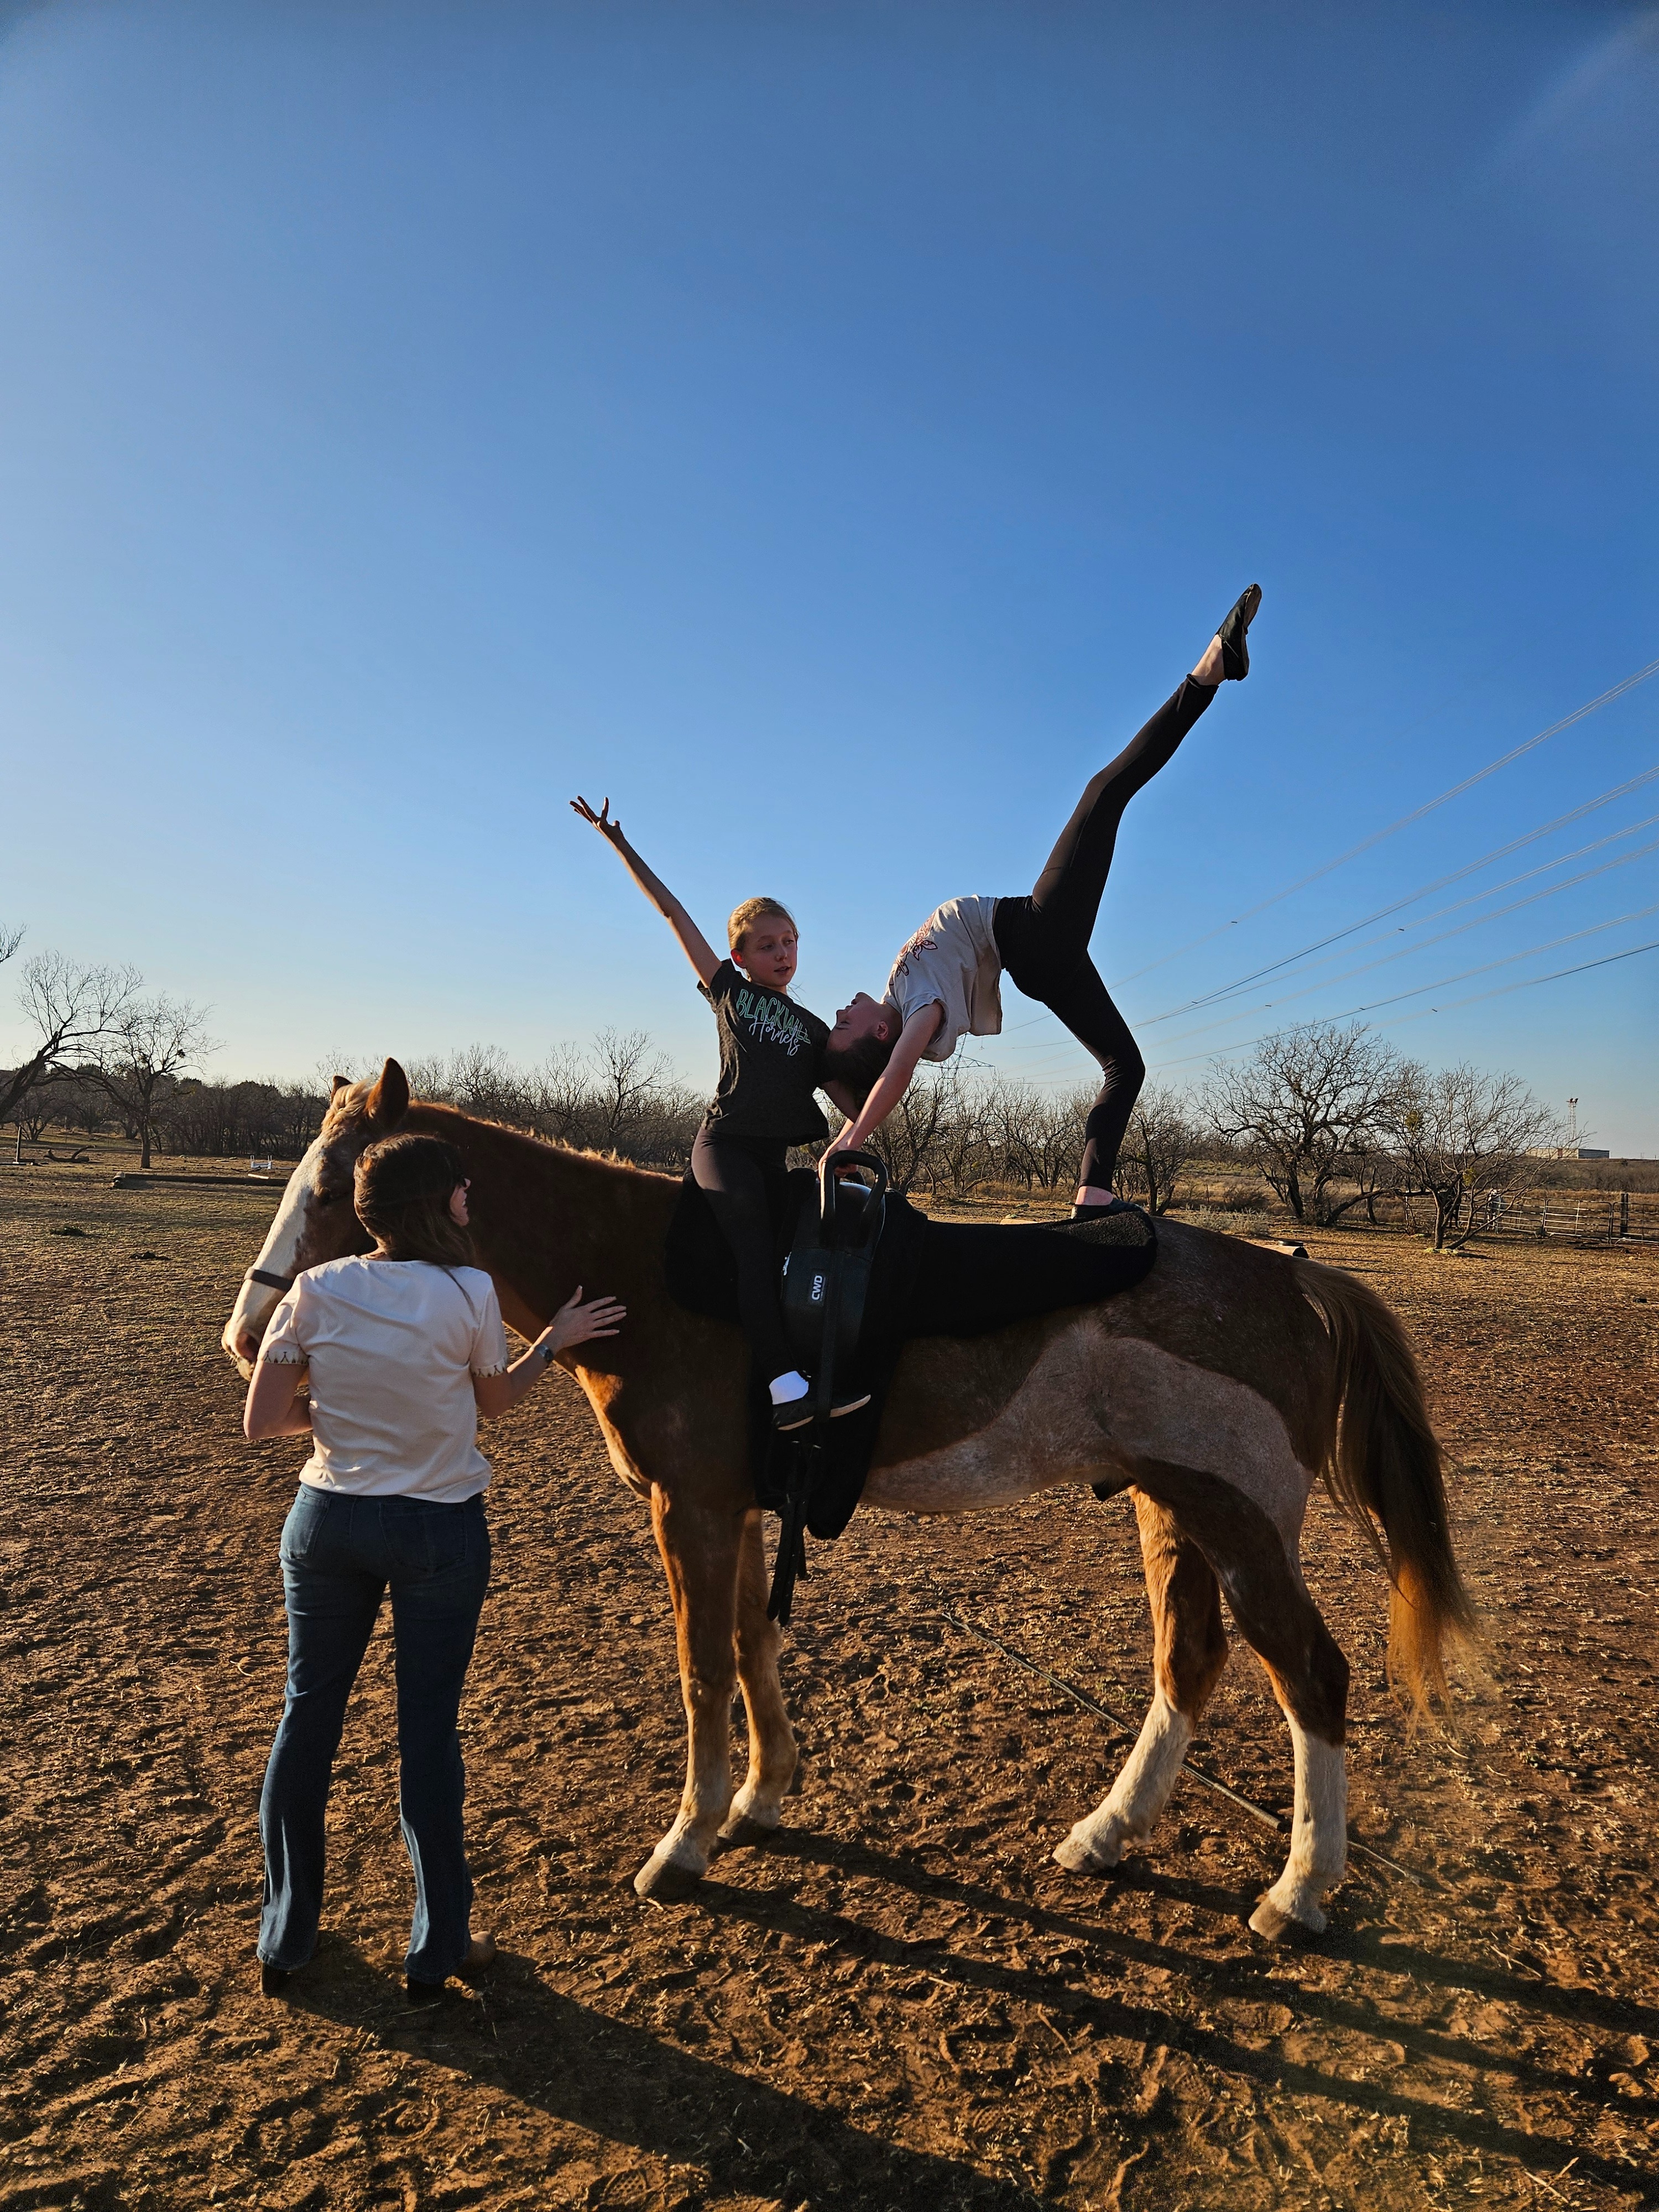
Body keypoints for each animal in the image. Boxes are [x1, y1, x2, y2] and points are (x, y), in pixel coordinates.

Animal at [222, 1062, 1472, 1942]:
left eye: (336, 1194)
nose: (250, 1336)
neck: (653, 1272)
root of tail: (1289, 1273)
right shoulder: (739, 1510)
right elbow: (750, 1642)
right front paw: (760, 1799)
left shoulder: (692, 1508)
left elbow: (703, 1666)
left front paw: (685, 1842)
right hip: (1173, 1510)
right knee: (1190, 1663)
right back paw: (1108, 1832)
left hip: (1240, 1523)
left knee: (1311, 1677)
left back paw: (1299, 1892)